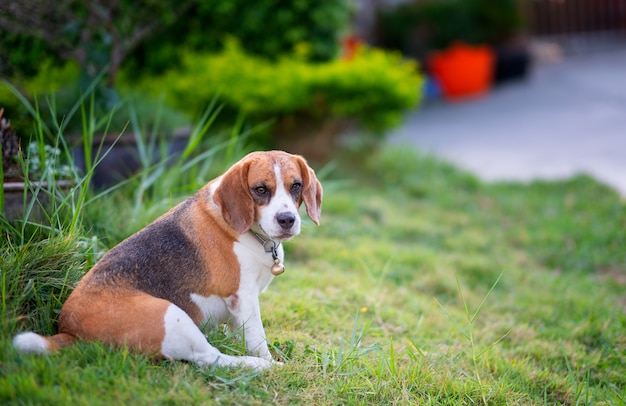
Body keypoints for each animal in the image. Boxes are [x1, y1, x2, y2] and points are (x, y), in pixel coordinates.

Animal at [12, 151, 322, 370]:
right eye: (260, 189)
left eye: (296, 186)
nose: (287, 220)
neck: (254, 235)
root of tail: (68, 330)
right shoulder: (243, 298)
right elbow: (257, 340)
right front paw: (266, 358)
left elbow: (240, 334)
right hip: (172, 315)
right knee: (210, 358)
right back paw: (262, 367)